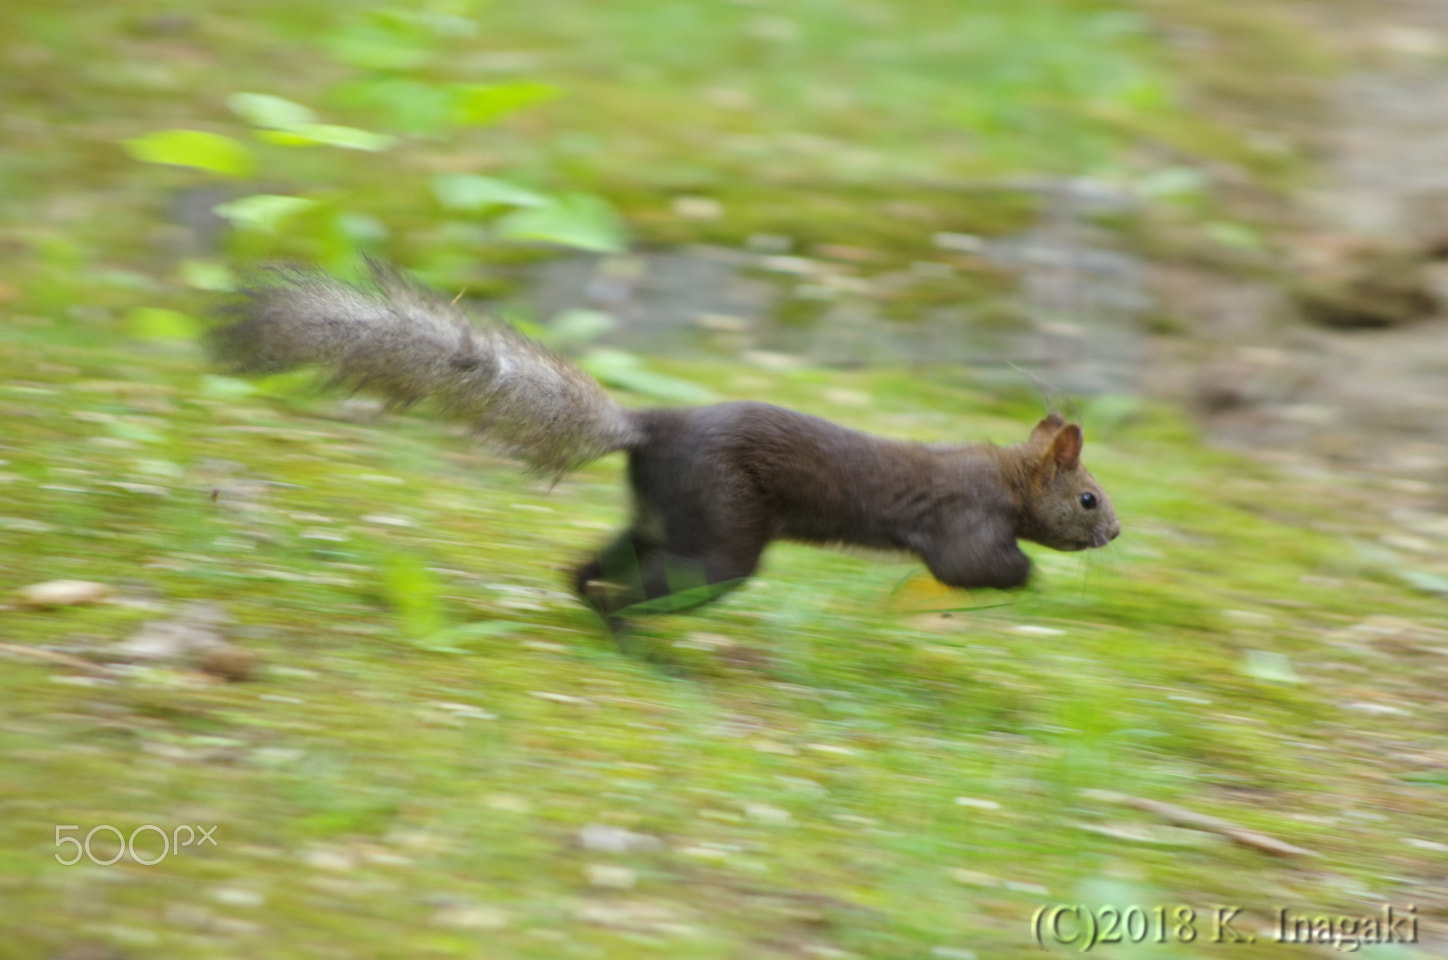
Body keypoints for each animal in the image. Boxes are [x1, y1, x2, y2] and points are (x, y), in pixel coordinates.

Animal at [211, 263, 1117, 619]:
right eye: (1088, 496)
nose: (1114, 532)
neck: (1005, 477)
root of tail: (644, 428)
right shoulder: (963, 521)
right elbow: (971, 567)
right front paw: (1032, 578)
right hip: (722, 534)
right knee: (639, 589)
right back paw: (637, 642)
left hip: (669, 516)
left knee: (593, 568)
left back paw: (592, 603)